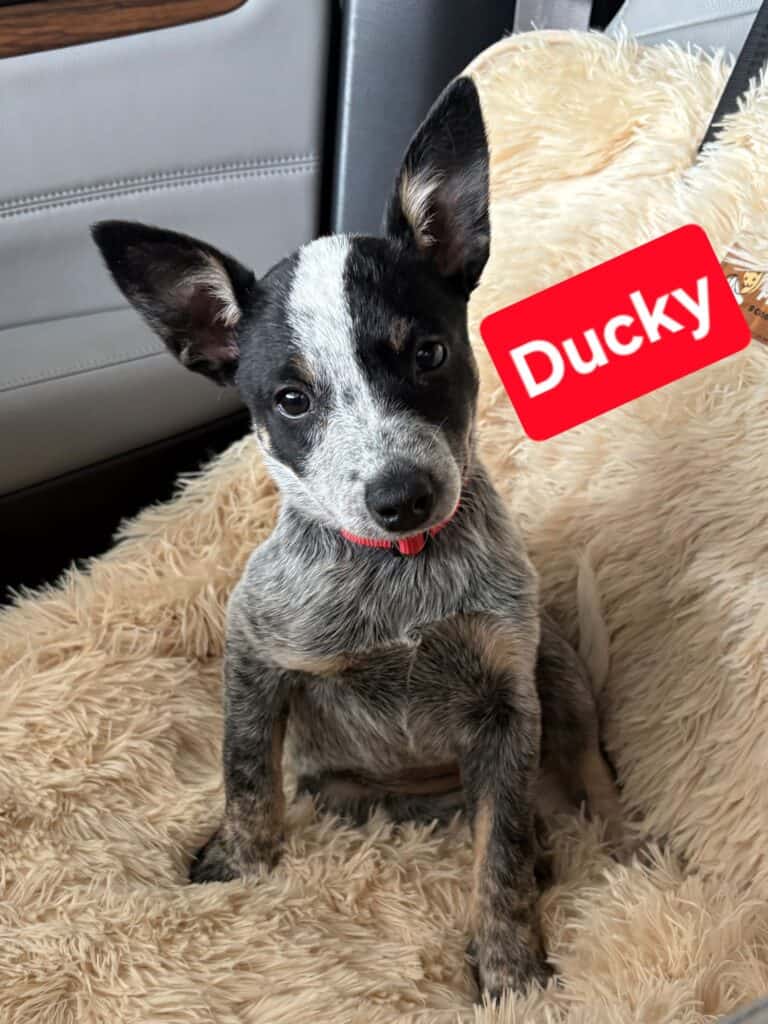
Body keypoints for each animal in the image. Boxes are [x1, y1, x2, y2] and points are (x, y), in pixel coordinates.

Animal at [92, 75, 623, 1000]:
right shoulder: (255, 655)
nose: (402, 497)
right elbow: (246, 774)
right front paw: (237, 865)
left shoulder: (506, 704)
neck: (399, 577)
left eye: (428, 354)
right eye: (292, 400)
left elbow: (502, 847)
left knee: (570, 776)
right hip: (353, 788)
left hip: (555, 668)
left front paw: (510, 961)